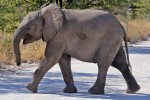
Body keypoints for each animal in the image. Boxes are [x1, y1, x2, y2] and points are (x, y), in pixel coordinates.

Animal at [13, 3, 141, 94]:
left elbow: (51, 58)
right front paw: (69, 92)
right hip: (115, 40)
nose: (18, 64)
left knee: (103, 64)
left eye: (28, 27)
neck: (45, 13)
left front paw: (29, 89)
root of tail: (121, 26)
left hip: (110, 39)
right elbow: (63, 60)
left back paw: (94, 92)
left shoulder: (59, 35)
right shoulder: (60, 38)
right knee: (120, 63)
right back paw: (133, 90)